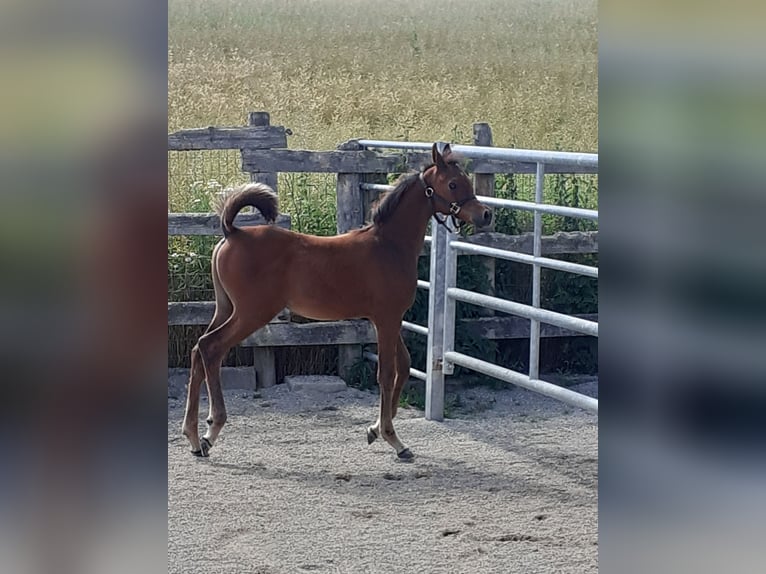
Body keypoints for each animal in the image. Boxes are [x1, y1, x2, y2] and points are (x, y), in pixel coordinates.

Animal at [182, 142, 492, 462]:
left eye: (466, 180)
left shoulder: (386, 319)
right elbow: (387, 373)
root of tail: (233, 232)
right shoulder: (387, 318)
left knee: (197, 350)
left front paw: (374, 430)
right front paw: (393, 439)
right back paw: (211, 431)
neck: (389, 246)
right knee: (211, 348)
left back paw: (193, 436)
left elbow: (404, 366)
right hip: (251, 313)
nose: (485, 214)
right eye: (453, 184)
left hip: (226, 308)